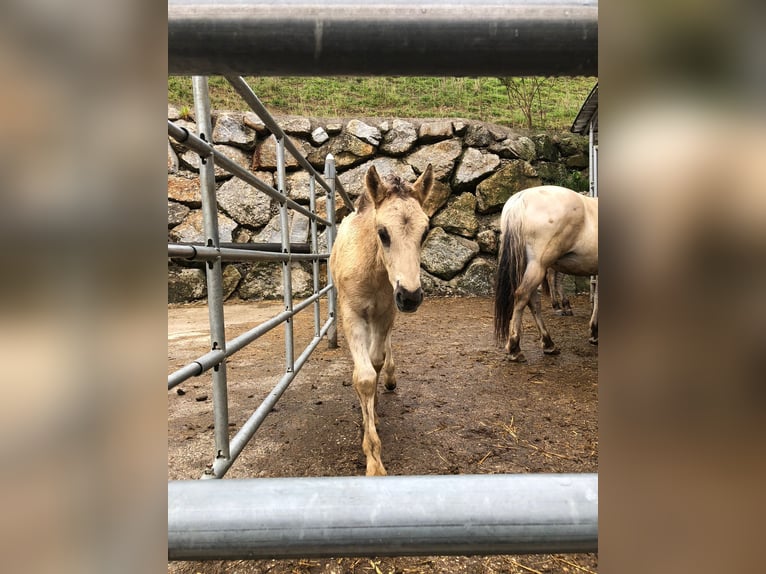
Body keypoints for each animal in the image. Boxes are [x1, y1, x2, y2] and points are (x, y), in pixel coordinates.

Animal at [332, 163, 436, 476]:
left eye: (425, 232)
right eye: (383, 232)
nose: (411, 297)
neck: (374, 270)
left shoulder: (386, 312)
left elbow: (375, 361)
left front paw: (374, 412)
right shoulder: (352, 315)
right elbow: (364, 376)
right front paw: (374, 461)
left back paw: (388, 379)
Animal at [498, 187, 600, 362]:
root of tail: (521, 198)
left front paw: (594, 333)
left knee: (533, 300)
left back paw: (548, 343)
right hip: (539, 265)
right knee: (523, 295)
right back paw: (515, 348)